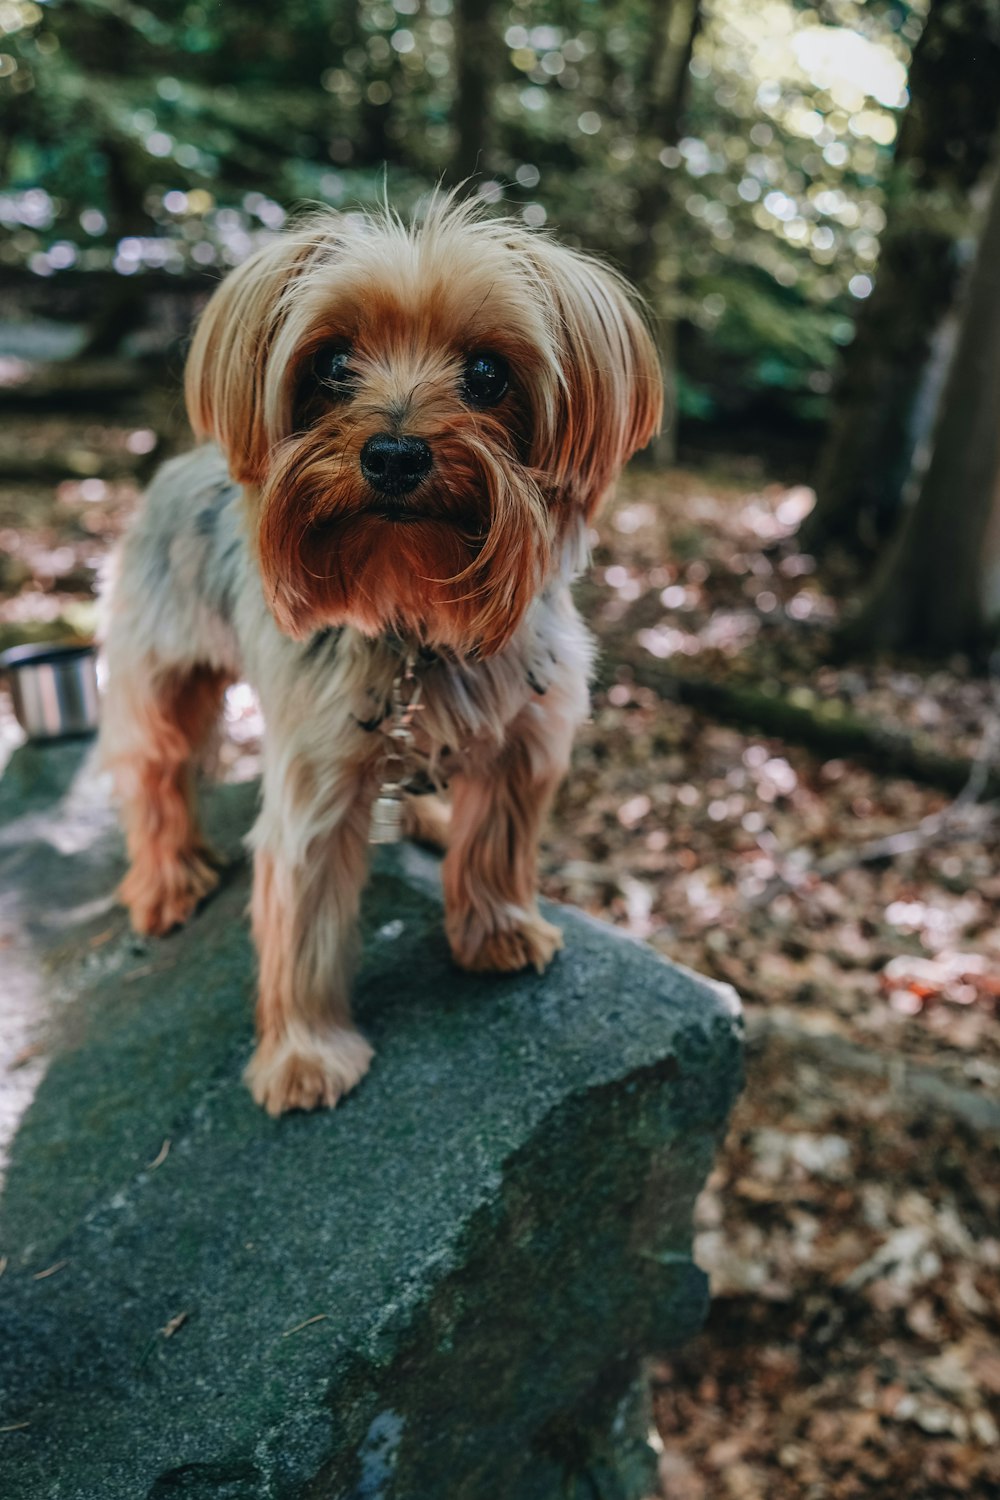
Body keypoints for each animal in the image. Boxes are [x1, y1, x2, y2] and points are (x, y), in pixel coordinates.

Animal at [99, 193, 665, 1116]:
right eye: (332, 364)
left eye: (487, 373)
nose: (395, 453)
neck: (415, 610)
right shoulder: (318, 776)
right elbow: (303, 917)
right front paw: (304, 1054)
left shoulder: (527, 736)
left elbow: (499, 841)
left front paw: (499, 930)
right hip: (160, 663)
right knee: (155, 768)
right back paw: (167, 879)